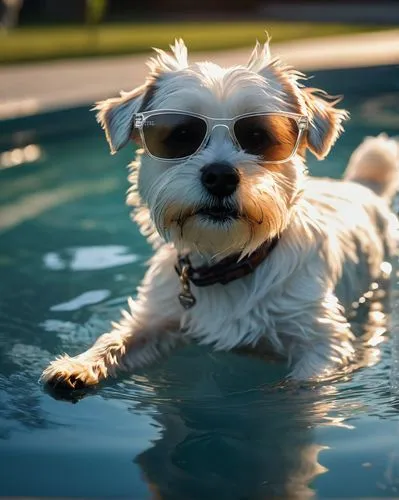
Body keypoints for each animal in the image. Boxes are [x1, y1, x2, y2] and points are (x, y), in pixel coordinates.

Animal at [41, 40, 399, 390]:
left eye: (258, 137)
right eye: (181, 136)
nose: (220, 176)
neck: (229, 261)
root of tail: (361, 185)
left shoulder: (321, 343)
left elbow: (301, 389)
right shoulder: (156, 316)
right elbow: (117, 338)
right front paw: (78, 364)